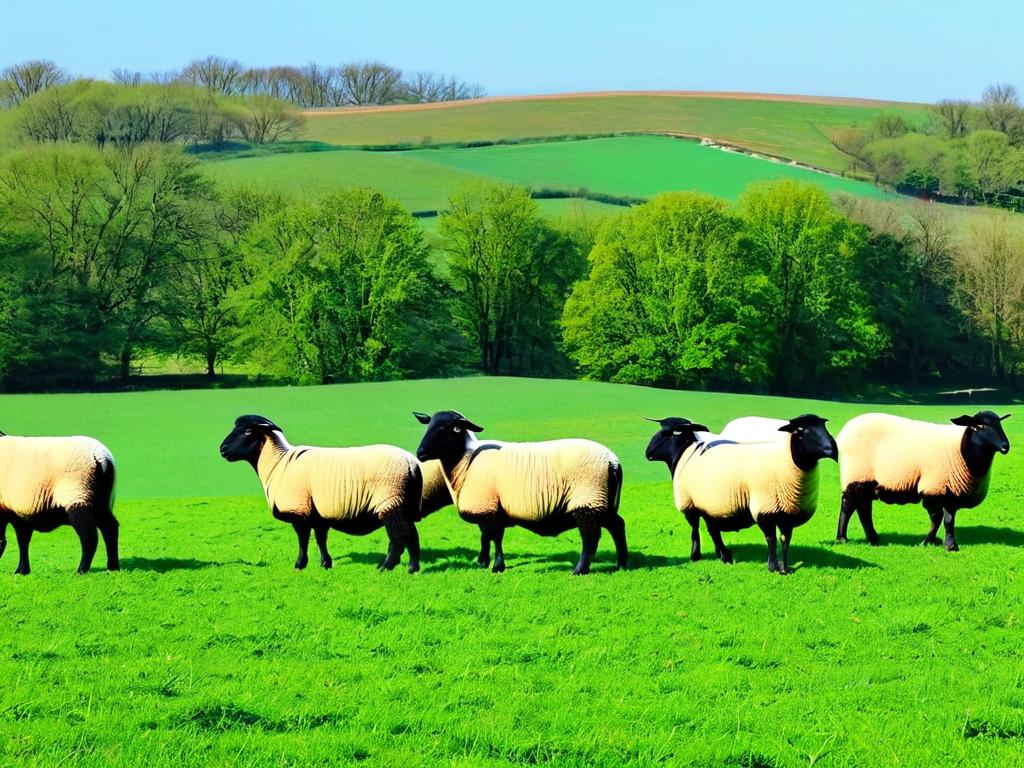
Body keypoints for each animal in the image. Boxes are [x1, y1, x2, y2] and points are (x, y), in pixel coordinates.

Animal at [0, 434, 118, 577]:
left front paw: (21, 570)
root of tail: (100, 454)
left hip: (79, 493)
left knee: (89, 536)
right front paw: (22, 570)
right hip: (100, 500)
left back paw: (81, 570)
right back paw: (113, 567)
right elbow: (22, 540)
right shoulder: (20, 513)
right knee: (110, 527)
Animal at [218, 415, 421, 573]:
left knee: (399, 538)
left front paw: (299, 565)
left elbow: (303, 540)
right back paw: (413, 569)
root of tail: (412, 463)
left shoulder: (299, 511)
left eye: (248, 431)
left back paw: (386, 567)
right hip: (404, 504)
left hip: (390, 501)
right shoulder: (318, 515)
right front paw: (326, 564)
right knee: (411, 535)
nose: (222, 449)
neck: (278, 464)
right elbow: (320, 540)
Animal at [413, 411, 622, 573]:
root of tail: (612, 462)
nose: (420, 453)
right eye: (428, 425)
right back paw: (622, 564)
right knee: (617, 525)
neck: (467, 461)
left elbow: (494, 537)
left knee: (590, 537)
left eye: (452, 429)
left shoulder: (489, 508)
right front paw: (483, 561)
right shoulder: (491, 508)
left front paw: (497, 566)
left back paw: (580, 569)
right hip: (603, 501)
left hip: (588, 499)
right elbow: (486, 536)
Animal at [647, 415, 839, 573]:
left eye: (667, 433)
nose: (647, 452)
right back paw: (709, 555)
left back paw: (722, 555)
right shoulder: (765, 509)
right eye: (801, 430)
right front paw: (773, 567)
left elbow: (784, 540)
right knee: (704, 529)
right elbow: (771, 539)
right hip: (697, 503)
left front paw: (784, 568)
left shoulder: (787, 513)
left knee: (711, 530)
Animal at [835, 411, 1011, 548]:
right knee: (849, 505)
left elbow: (948, 519)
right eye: (980, 426)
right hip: (856, 476)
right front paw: (932, 542)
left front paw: (945, 543)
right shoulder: (934, 488)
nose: (1005, 446)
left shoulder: (950, 491)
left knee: (863, 508)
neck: (961, 449)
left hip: (866, 481)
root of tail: (843, 433)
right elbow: (939, 518)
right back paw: (842, 538)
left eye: (999, 424)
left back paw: (874, 539)